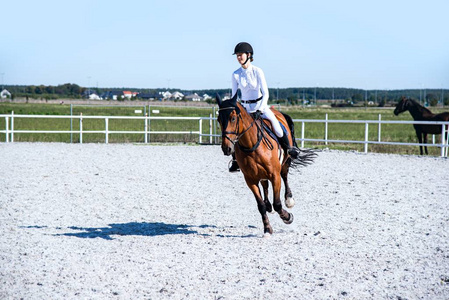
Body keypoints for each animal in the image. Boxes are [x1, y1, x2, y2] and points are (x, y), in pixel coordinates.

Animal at [216, 94, 316, 237]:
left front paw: (288, 217)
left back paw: (289, 199)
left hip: (285, 163)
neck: (251, 145)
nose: (226, 148)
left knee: (285, 177)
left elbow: (278, 204)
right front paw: (267, 228)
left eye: (233, 118)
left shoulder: (275, 176)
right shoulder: (250, 180)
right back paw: (269, 206)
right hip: (260, 174)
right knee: (265, 185)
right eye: (218, 119)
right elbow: (261, 205)